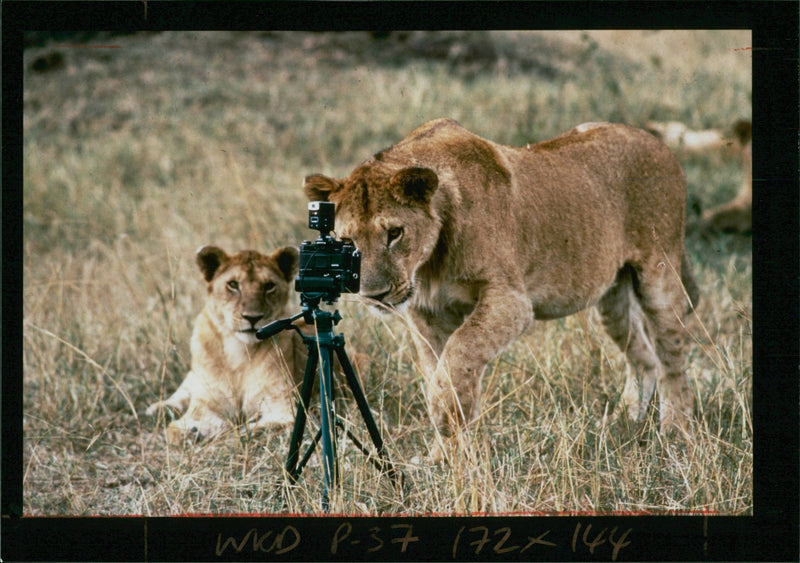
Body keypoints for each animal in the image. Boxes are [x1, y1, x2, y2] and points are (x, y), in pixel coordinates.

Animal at [145, 246, 304, 446]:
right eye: (233, 285)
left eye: (269, 286)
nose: (252, 317)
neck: (239, 350)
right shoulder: (206, 403)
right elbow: (178, 428)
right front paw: (190, 432)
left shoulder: (282, 408)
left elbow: (257, 430)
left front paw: (230, 436)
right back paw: (159, 409)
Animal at [304, 117, 696, 456]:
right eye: (346, 241)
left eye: (395, 233)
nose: (374, 295)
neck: (428, 265)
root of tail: (658, 142)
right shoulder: (426, 314)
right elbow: (437, 367)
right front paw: (443, 455)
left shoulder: (512, 301)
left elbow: (462, 349)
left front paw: (446, 413)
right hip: (611, 298)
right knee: (643, 356)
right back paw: (625, 420)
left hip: (659, 274)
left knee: (672, 353)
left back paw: (675, 432)